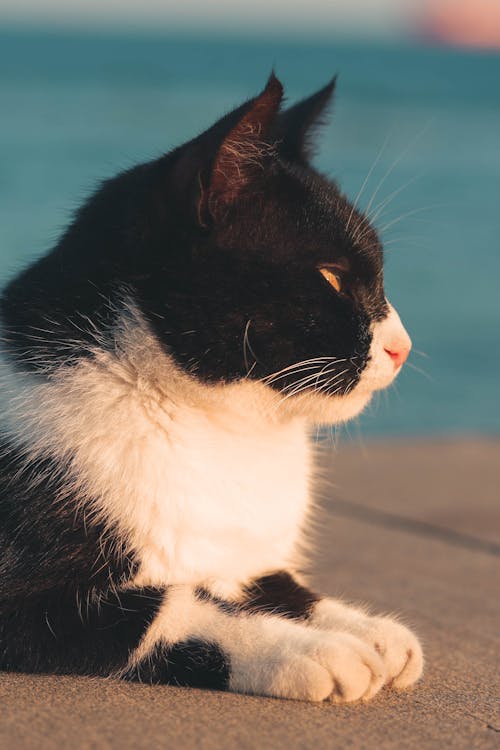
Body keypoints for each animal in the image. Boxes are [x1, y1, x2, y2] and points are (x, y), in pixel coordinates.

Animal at [0, 73, 422, 704]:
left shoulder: (241, 555)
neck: (222, 432)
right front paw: (314, 650)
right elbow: (175, 606)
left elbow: (276, 583)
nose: (402, 345)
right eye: (331, 277)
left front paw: (369, 630)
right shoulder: (25, 600)